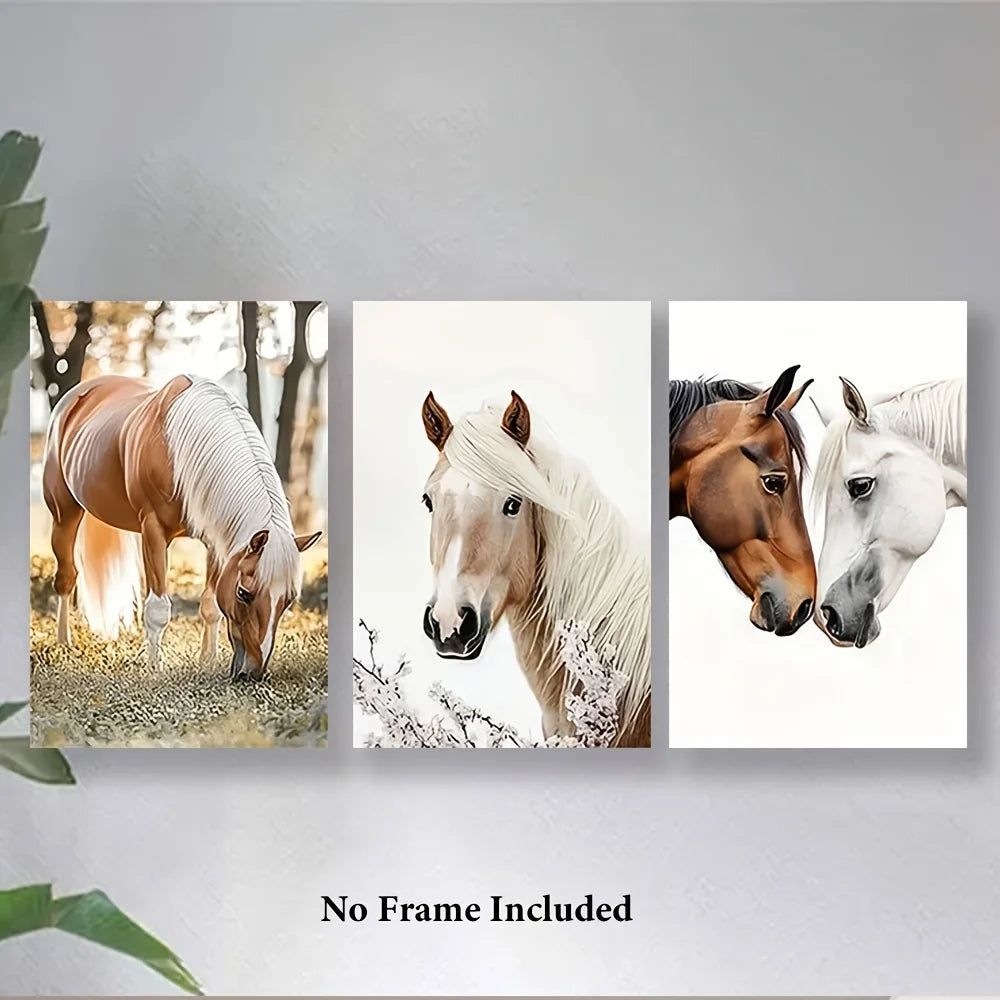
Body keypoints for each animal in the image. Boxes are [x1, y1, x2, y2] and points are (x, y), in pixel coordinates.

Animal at [41, 373, 322, 678]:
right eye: (244, 593)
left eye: (288, 600)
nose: (253, 673)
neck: (181, 450)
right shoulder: (153, 531)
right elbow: (158, 608)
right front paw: (155, 667)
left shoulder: (217, 541)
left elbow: (210, 604)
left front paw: (208, 660)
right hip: (64, 515)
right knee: (66, 578)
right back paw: (64, 643)